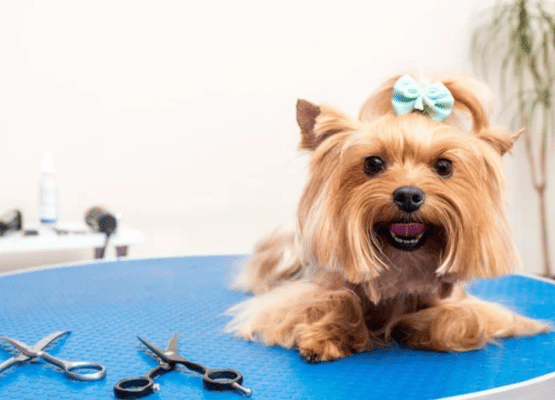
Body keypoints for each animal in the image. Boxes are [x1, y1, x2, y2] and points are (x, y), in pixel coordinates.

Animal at [226, 72, 552, 362]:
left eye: (444, 166)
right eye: (373, 163)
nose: (408, 195)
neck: (403, 265)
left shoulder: (471, 307)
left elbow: (462, 320)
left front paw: (411, 326)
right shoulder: (293, 300)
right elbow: (335, 300)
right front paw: (325, 337)